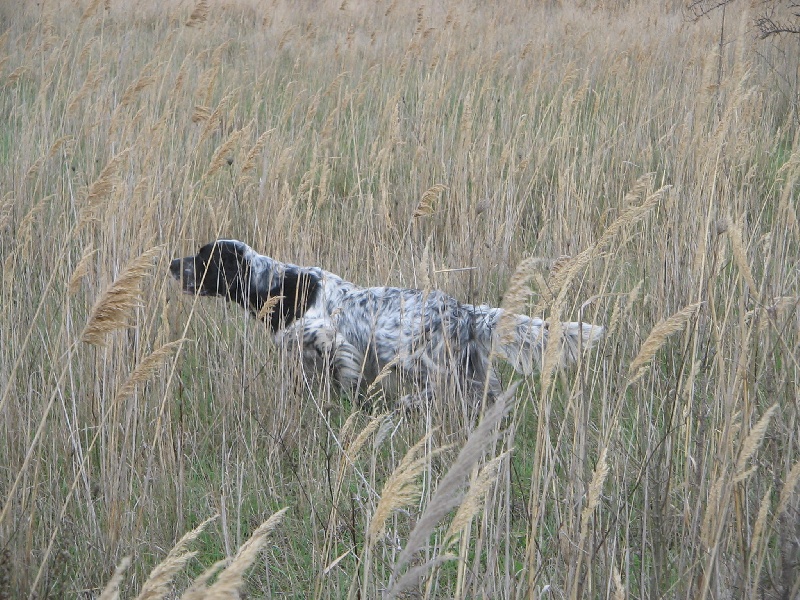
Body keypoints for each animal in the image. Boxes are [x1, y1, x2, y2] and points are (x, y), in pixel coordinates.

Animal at [170, 240, 608, 404]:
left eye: (202, 257)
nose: (173, 264)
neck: (276, 284)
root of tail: (465, 312)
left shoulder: (331, 340)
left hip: (423, 362)